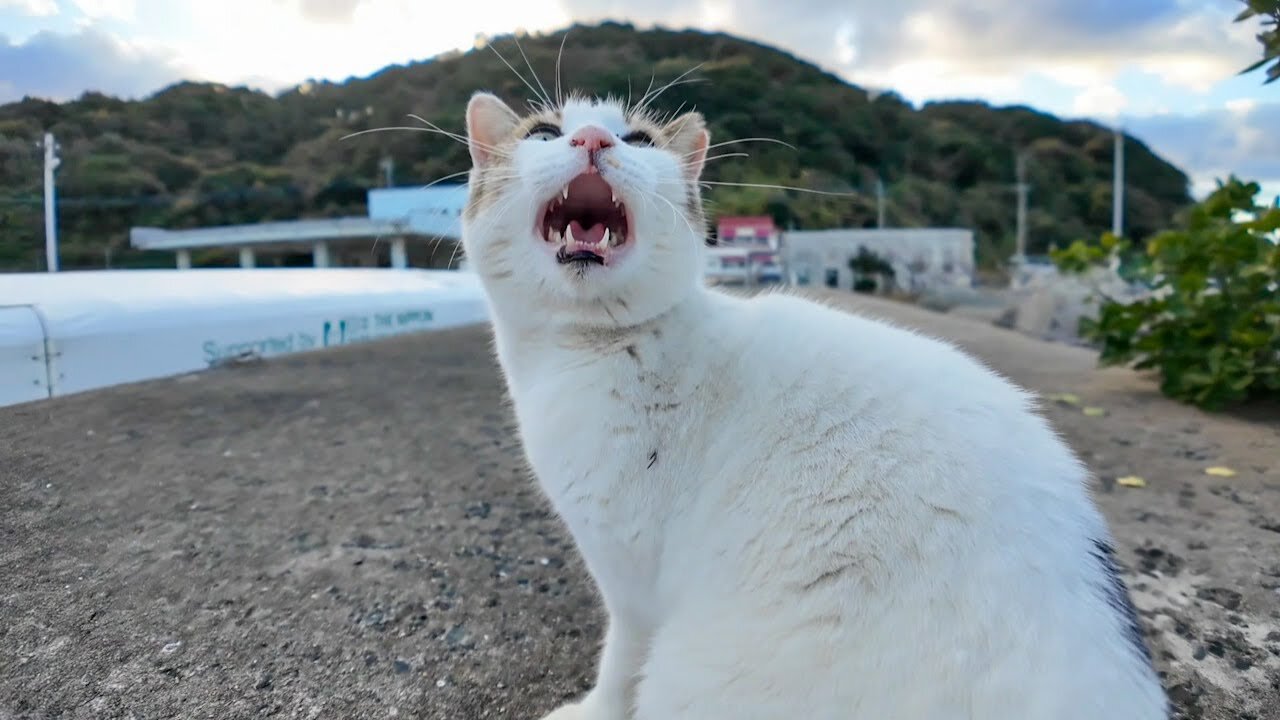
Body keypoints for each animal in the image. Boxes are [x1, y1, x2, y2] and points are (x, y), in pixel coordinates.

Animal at [460, 89, 1172, 717]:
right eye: (543, 133)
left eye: (638, 140)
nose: (592, 139)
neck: (587, 351)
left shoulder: (633, 586)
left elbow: (618, 666)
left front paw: (592, 711)